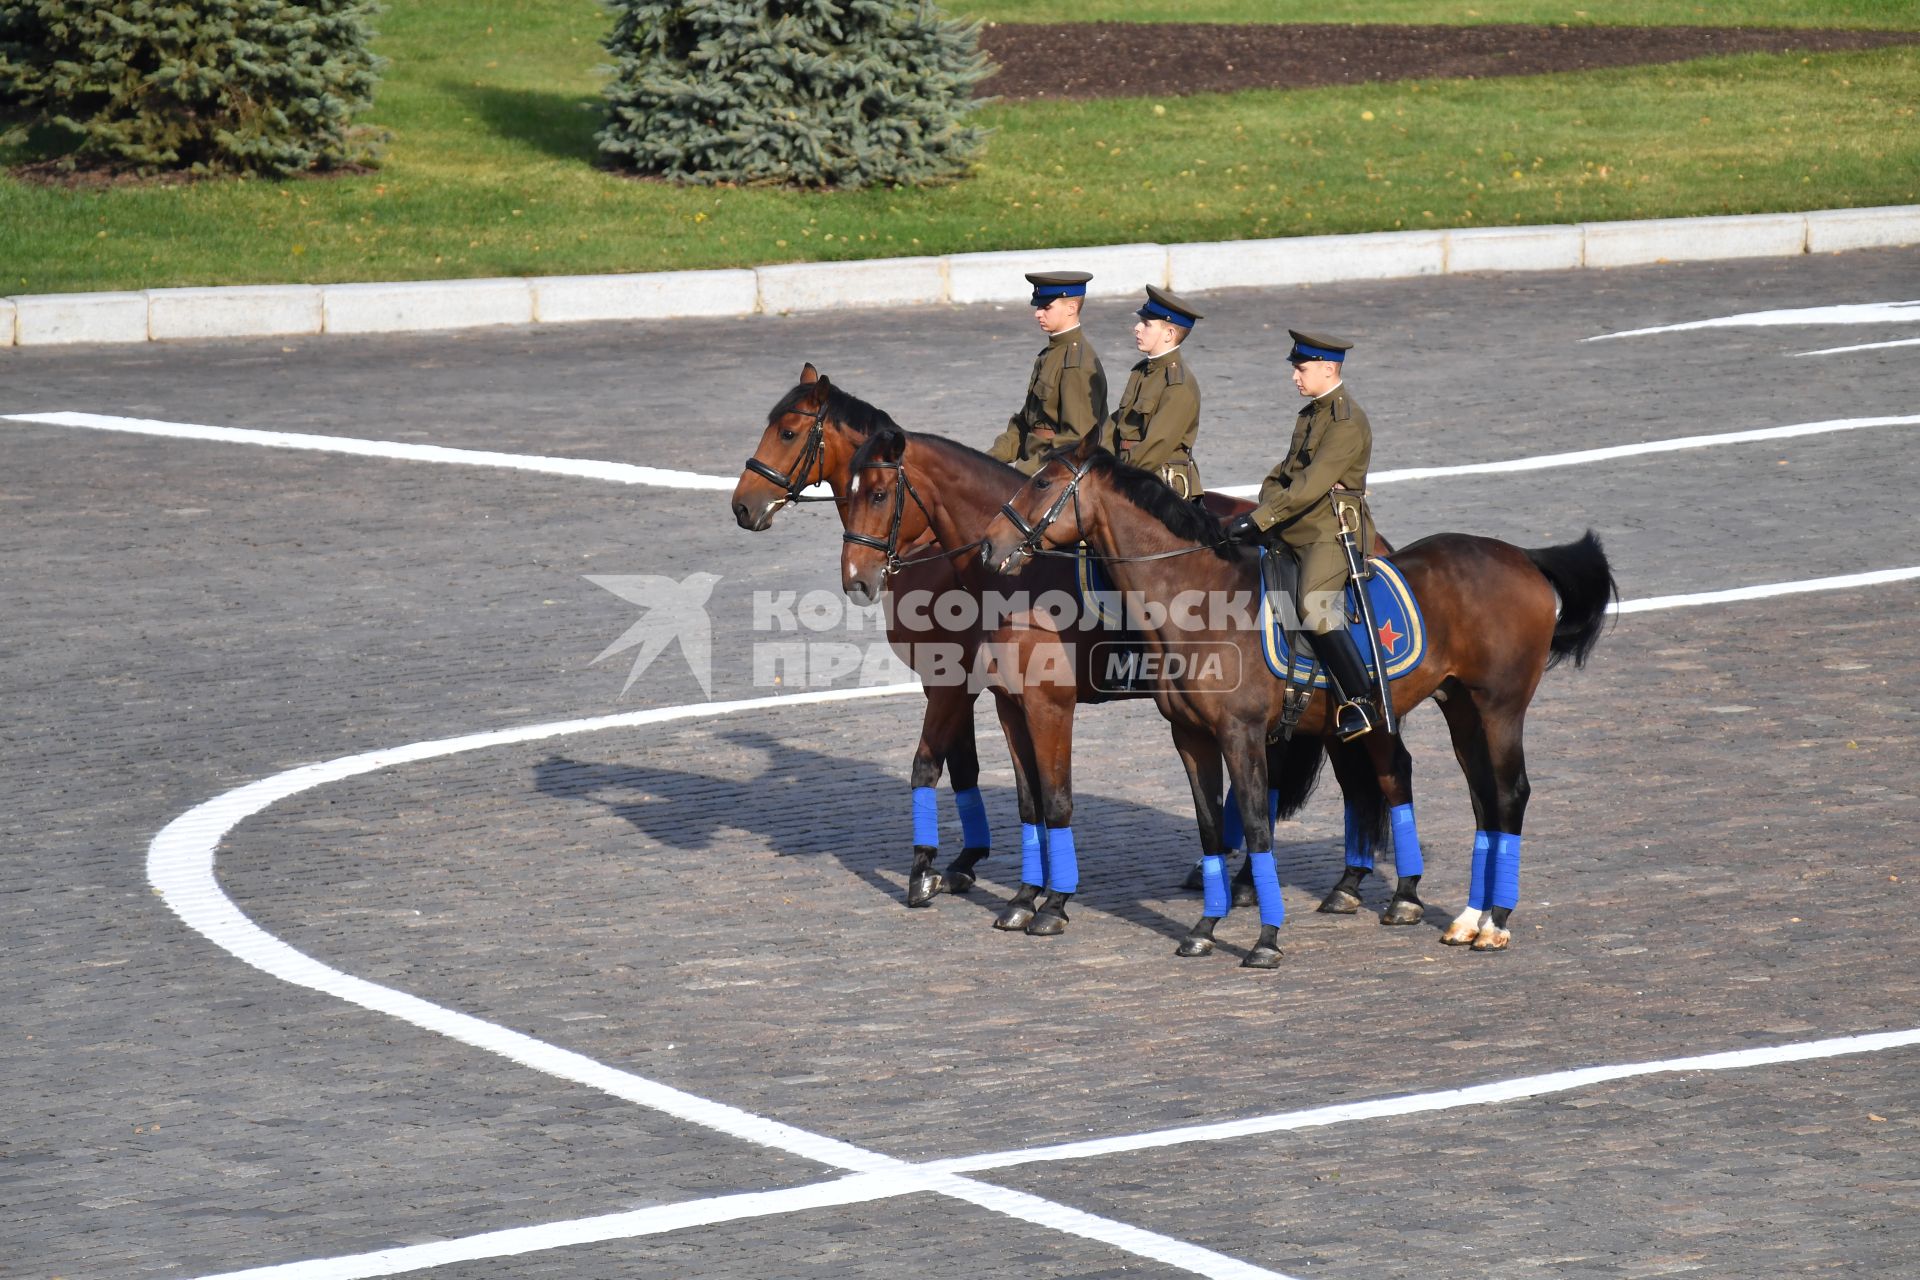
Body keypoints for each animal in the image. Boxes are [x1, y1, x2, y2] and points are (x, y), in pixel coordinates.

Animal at [983, 435, 1612, 967]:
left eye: (1043, 482)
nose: (991, 545)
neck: (1196, 599)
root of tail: (1520, 557)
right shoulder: (1190, 737)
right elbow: (1211, 829)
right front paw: (1204, 930)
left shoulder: (1240, 735)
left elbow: (1257, 827)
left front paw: (1265, 939)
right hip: (1457, 707)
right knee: (1479, 798)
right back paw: (1464, 917)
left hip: (1499, 708)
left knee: (1508, 794)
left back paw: (1494, 923)